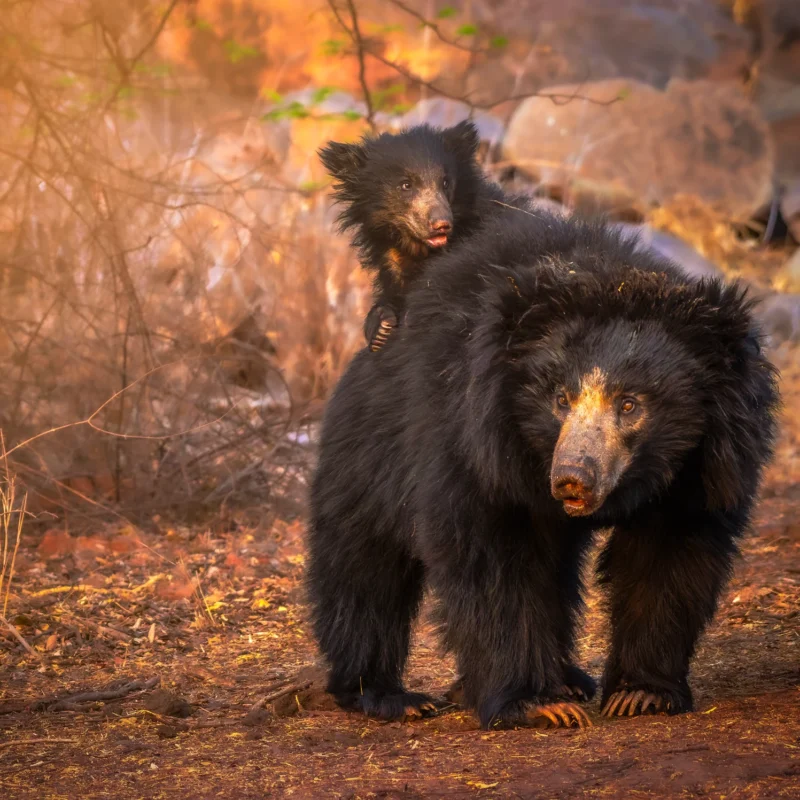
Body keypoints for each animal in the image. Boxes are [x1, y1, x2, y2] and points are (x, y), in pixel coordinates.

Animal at [306, 206, 780, 730]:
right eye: (560, 399)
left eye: (629, 405)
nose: (572, 477)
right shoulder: (474, 445)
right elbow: (492, 557)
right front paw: (537, 704)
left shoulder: (706, 464)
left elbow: (671, 554)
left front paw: (641, 693)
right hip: (370, 450)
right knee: (365, 564)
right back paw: (385, 693)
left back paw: (567, 679)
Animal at [318, 121, 527, 351]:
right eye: (406, 185)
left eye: (445, 183)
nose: (441, 224)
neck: (418, 248)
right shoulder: (392, 263)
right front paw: (381, 325)